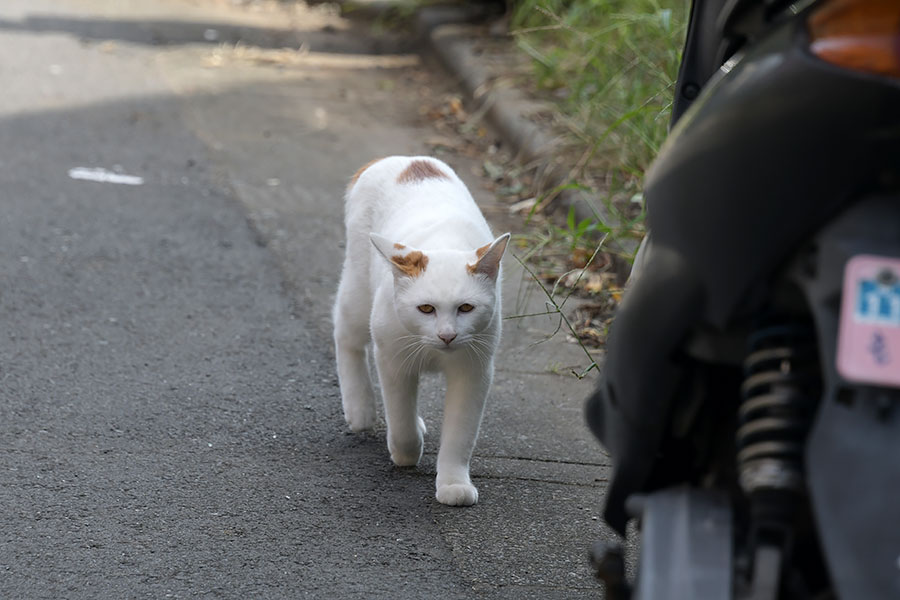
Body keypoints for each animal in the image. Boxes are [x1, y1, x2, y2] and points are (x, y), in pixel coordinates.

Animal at [334, 156, 510, 506]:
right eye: (426, 309)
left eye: (466, 308)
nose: (447, 335)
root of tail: (399, 159)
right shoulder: (392, 360)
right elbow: (400, 418)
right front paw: (405, 452)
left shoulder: (474, 371)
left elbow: (460, 435)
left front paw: (453, 483)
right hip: (359, 292)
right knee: (344, 330)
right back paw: (360, 408)